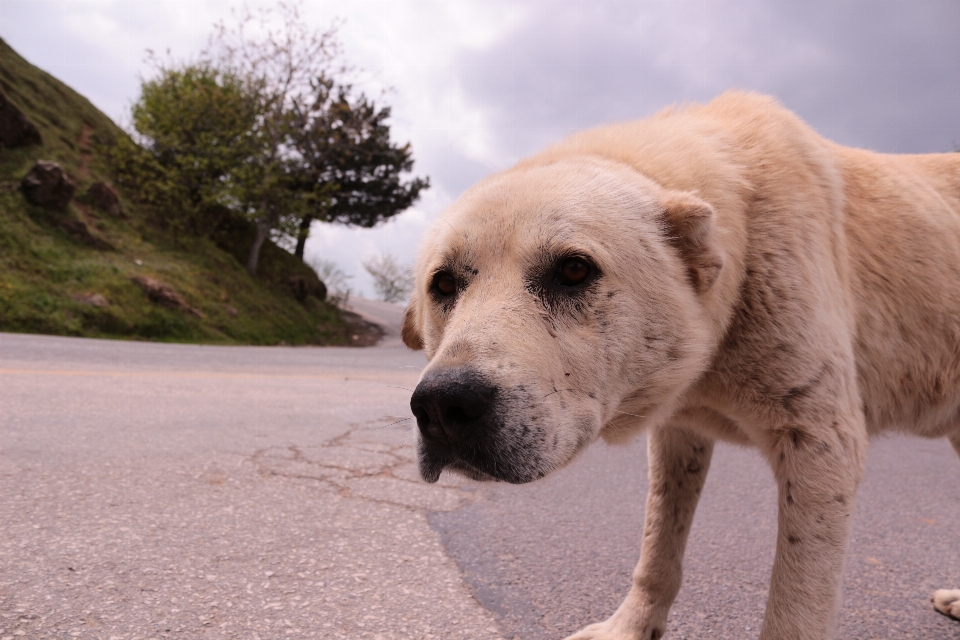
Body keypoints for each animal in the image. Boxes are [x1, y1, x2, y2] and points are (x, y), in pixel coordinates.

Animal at [400, 91, 960, 640]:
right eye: (443, 284)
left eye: (574, 270)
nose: (443, 404)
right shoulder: (678, 433)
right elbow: (657, 552)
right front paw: (629, 629)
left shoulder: (822, 445)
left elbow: (794, 611)